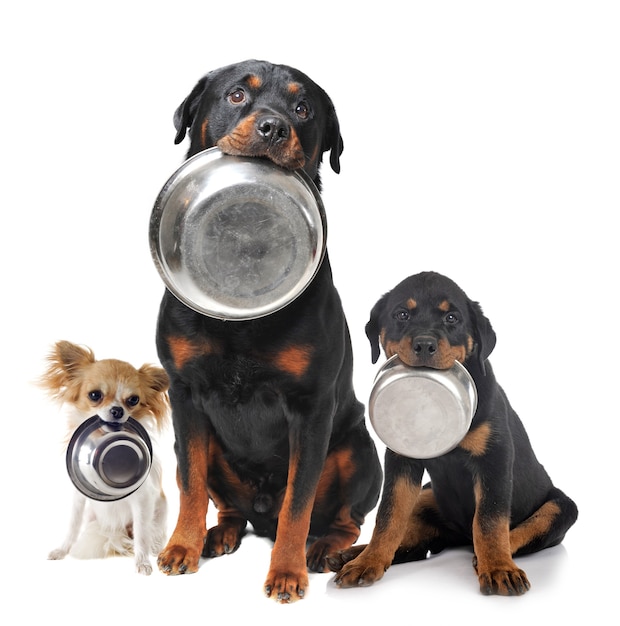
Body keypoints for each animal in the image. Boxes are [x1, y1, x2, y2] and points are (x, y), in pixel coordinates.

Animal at [154, 62, 382, 600]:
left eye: (303, 109)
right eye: (237, 95)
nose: (274, 127)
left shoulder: (311, 407)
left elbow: (298, 503)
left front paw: (286, 572)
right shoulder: (184, 395)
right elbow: (190, 483)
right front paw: (181, 547)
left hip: (358, 449)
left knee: (343, 517)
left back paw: (325, 550)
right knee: (224, 502)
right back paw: (218, 535)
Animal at [326, 272, 580, 596]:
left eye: (451, 318)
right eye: (402, 314)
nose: (424, 344)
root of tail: (457, 536)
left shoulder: (495, 459)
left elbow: (489, 520)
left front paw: (498, 568)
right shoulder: (401, 461)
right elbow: (389, 516)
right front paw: (367, 562)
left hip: (562, 506)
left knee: (515, 530)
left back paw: (488, 558)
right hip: (427, 495)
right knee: (414, 540)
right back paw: (352, 554)